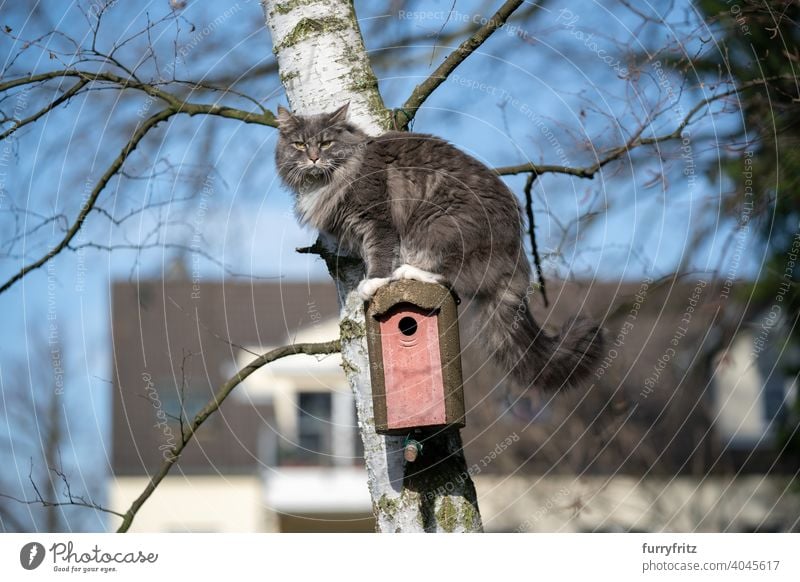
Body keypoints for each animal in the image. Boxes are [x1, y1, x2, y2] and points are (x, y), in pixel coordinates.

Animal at [276, 103, 600, 394]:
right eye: (300, 144)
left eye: (326, 143)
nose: (314, 158)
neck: (329, 180)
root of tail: (516, 252)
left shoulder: (378, 220)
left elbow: (379, 255)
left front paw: (373, 282)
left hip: (438, 228)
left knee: (449, 278)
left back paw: (408, 271)